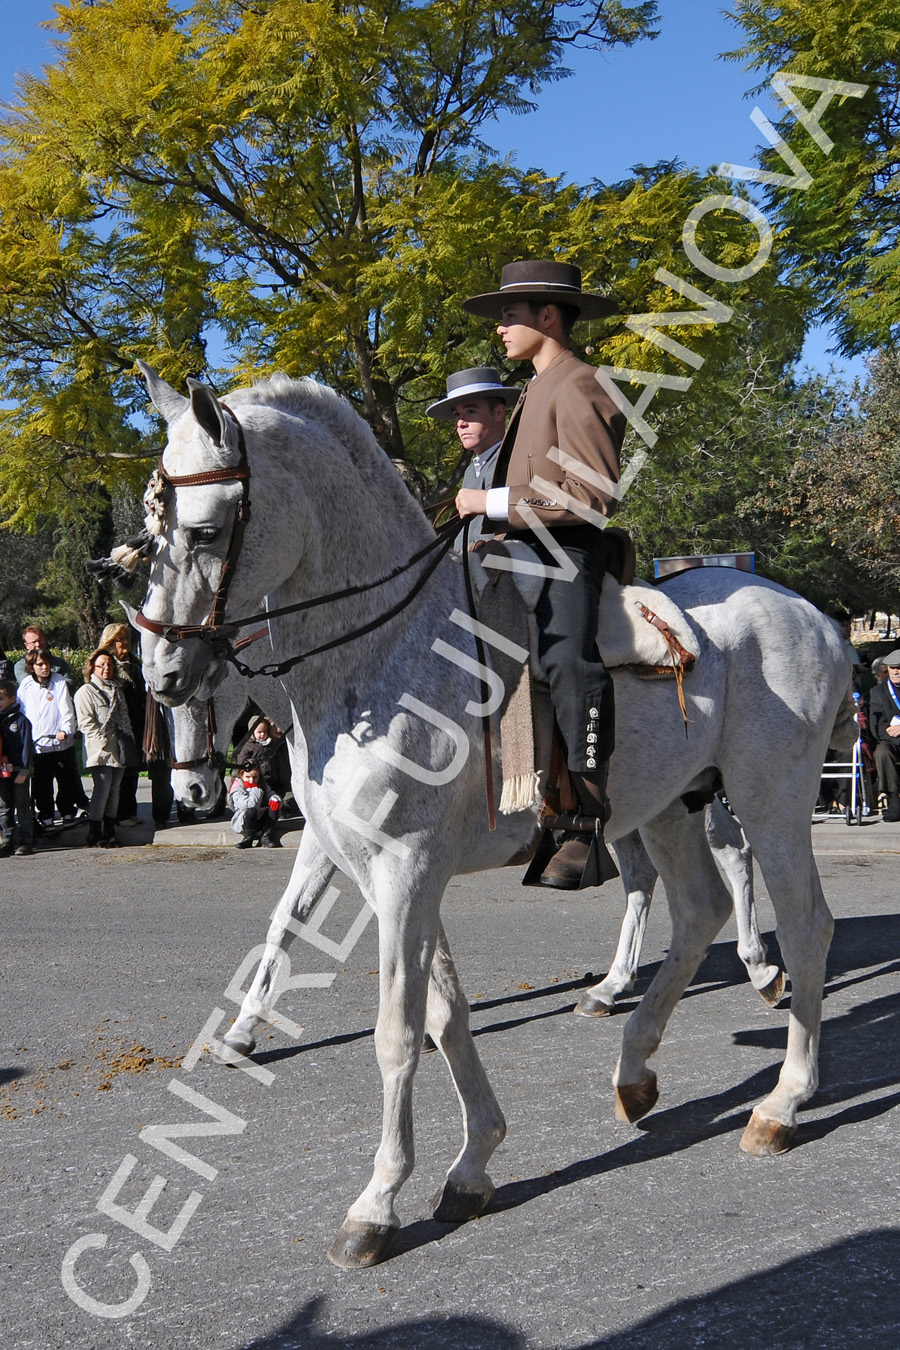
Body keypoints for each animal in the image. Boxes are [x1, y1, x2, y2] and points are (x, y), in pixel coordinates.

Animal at [135, 367, 852, 1263]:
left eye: (204, 530)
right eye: (148, 531)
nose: (162, 672)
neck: (387, 652)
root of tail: (814, 614)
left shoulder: (403, 869)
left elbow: (396, 1030)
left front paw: (376, 1203)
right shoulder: (389, 870)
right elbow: (443, 1013)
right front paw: (473, 1165)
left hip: (770, 798)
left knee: (805, 924)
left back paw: (781, 1101)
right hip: (666, 807)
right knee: (697, 910)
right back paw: (634, 1068)